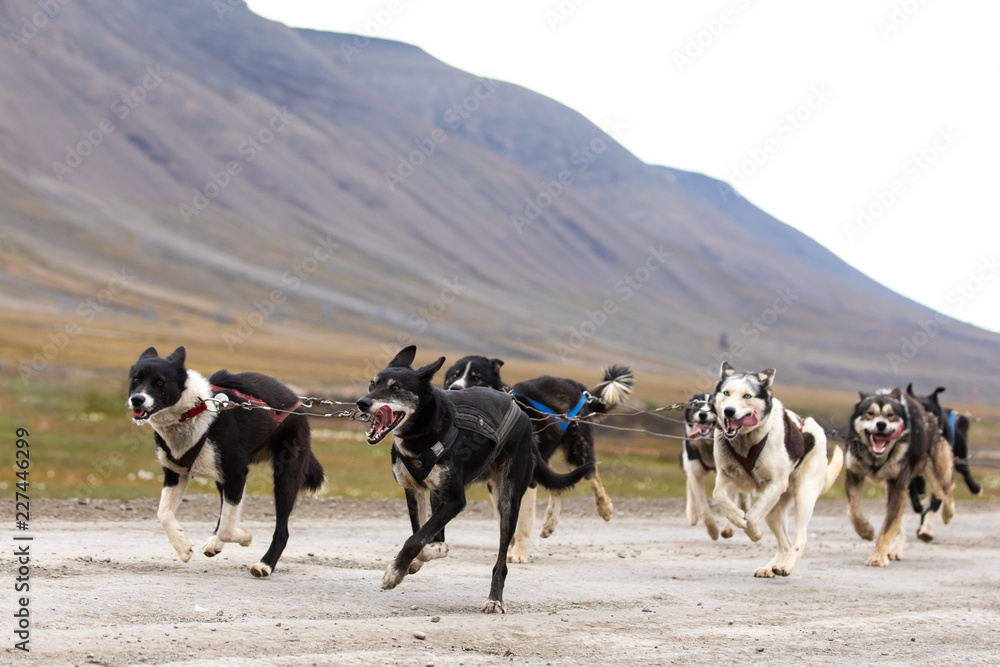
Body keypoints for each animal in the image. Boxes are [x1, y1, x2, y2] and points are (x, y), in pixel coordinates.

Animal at [128, 348, 324, 576]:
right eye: (136, 379)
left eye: (160, 382)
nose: (137, 399)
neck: (192, 411)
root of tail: (298, 402)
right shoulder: (176, 475)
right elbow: (163, 514)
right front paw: (183, 547)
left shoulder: (237, 475)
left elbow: (228, 528)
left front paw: (245, 536)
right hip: (220, 477)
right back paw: (215, 543)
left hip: (285, 478)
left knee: (282, 531)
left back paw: (265, 564)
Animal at [358, 350, 592, 616]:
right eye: (372, 384)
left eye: (395, 387)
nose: (362, 403)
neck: (425, 430)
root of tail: (523, 416)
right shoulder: (415, 492)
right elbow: (423, 535)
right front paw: (423, 557)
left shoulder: (455, 500)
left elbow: (415, 539)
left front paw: (395, 572)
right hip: (443, 494)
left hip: (508, 501)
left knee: (501, 560)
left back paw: (495, 599)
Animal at [440, 358, 628, 560]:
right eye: (453, 375)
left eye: (476, 378)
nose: (455, 388)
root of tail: (577, 385)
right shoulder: (494, 481)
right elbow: (502, 515)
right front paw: (511, 541)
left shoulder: (526, 478)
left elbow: (523, 519)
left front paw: (519, 552)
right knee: (558, 485)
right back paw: (549, 524)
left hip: (577, 449)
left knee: (591, 473)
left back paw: (605, 507)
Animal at [712, 362, 844, 576]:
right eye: (726, 392)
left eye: (747, 396)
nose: (728, 411)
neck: (746, 440)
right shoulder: (725, 476)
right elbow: (719, 496)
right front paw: (737, 517)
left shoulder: (776, 483)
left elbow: (753, 515)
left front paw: (754, 532)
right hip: (774, 510)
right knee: (785, 543)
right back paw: (770, 567)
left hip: (803, 498)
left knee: (799, 540)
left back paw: (785, 566)